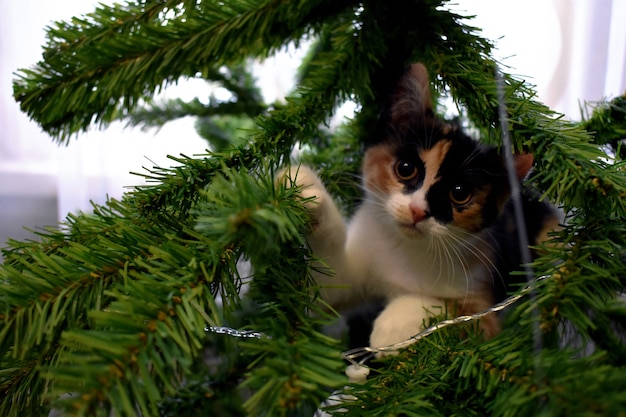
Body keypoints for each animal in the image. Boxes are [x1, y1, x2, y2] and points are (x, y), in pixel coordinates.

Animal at [282, 63, 556, 352]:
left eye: (459, 193)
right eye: (405, 168)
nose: (418, 211)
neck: (404, 249)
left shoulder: (483, 298)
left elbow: (454, 312)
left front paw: (393, 325)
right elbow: (328, 286)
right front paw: (303, 188)